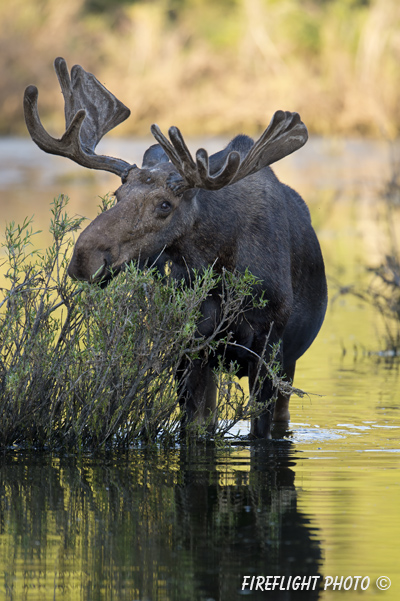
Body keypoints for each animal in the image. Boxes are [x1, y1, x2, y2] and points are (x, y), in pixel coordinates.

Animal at [23, 58, 326, 438]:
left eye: (165, 205)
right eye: (117, 194)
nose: (83, 259)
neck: (219, 268)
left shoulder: (268, 345)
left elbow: (261, 430)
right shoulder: (189, 346)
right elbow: (194, 427)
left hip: (289, 362)